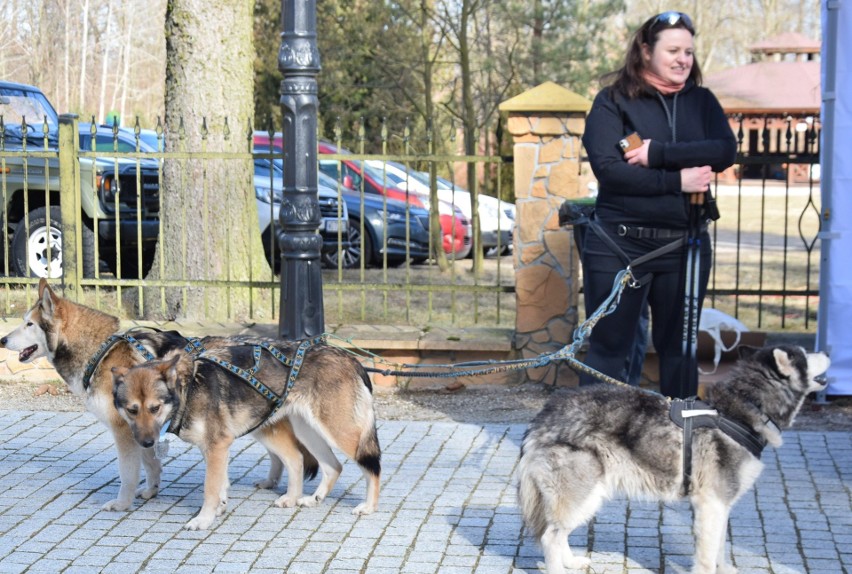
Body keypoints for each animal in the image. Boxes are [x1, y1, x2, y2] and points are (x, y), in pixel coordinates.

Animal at [0, 280, 316, 512]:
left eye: (29, 324)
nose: (2, 339)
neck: (100, 351)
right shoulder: (142, 429)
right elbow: (151, 463)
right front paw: (152, 491)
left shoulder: (124, 431)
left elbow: (128, 473)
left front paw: (122, 504)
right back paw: (271, 482)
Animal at [110, 340, 382, 532]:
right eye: (132, 410)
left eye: (154, 408)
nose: (146, 443)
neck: (188, 386)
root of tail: (349, 358)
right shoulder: (214, 449)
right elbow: (221, 485)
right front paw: (219, 509)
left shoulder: (217, 446)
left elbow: (210, 488)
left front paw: (203, 520)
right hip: (304, 431)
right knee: (323, 464)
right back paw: (307, 498)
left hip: (341, 434)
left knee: (371, 468)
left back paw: (369, 507)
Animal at [516, 344, 828, 572]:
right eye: (805, 354)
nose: (826, 351)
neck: (741, 409)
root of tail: (544, 414)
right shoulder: (711, 504)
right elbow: (707, 555)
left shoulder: (721, 505)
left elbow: (720, 548)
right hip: (583, 494)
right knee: (551, 537)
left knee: (558, 534)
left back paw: (571, 562)